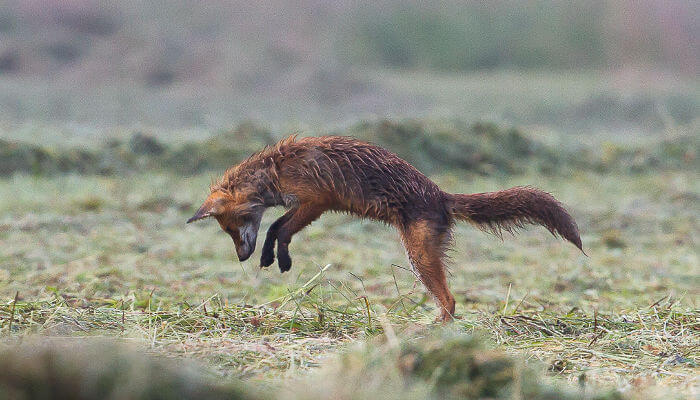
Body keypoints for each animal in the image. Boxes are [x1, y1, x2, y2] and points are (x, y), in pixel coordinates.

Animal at [187, 136, 584, 320]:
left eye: (232, 227)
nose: (241, 258)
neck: (276, 170)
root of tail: (441, 195)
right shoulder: (307, 205)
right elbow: (275, 227)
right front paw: (270, 259)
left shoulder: (316, 201)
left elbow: (278, 229)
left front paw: (279, 259)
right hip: (420, 257)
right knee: (450, 301)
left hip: (419, 258)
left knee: (451, 301)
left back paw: (430, 331)